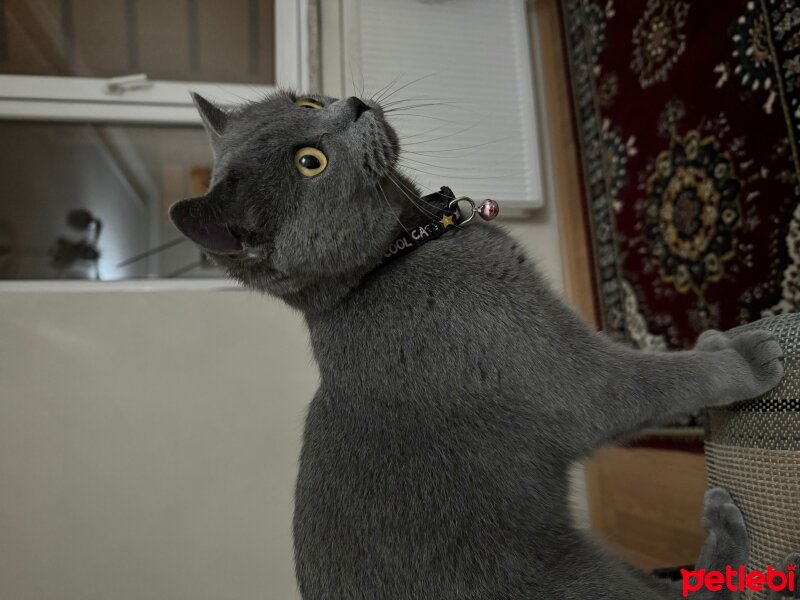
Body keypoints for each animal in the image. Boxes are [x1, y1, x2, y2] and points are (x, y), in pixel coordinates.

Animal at [172, 91, 784, 596]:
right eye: (310, 161)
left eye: (304, 102)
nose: (351, 105)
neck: (401, 253)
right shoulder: (559, 373)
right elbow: (656, 380)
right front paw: (744, 357)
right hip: (581, 583)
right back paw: (725, 529)